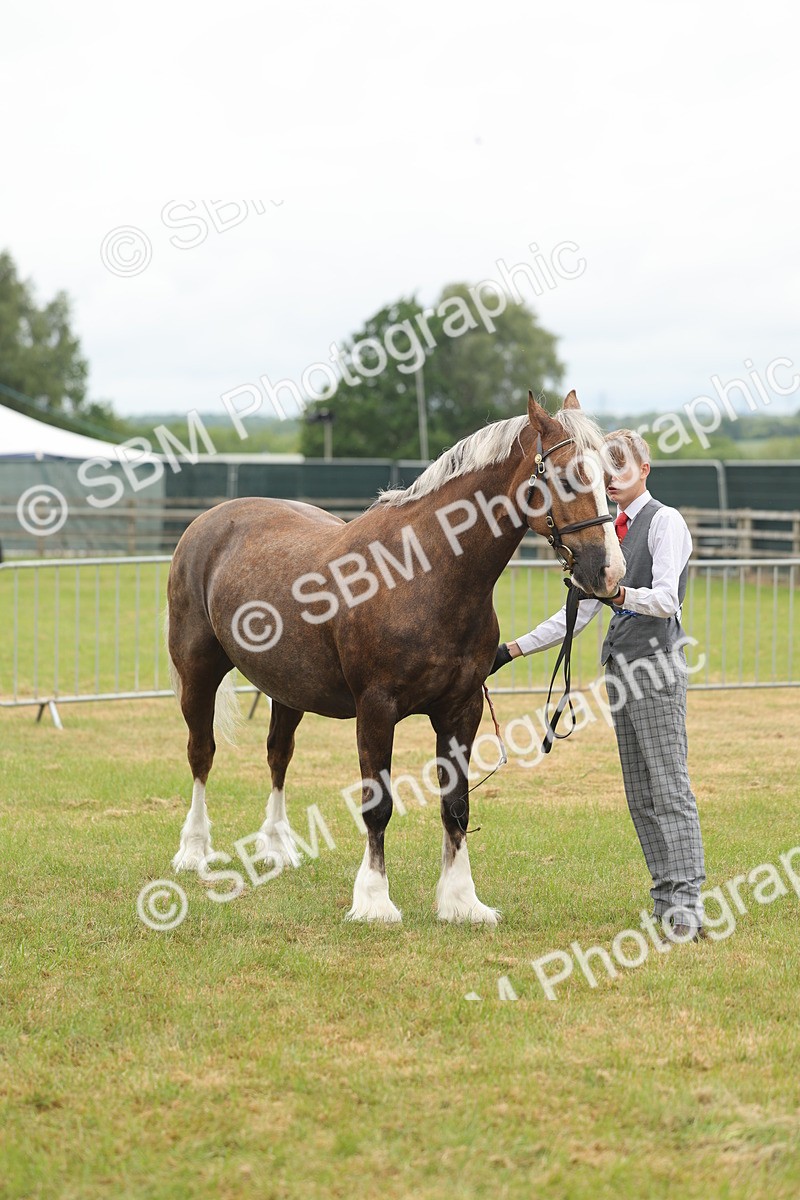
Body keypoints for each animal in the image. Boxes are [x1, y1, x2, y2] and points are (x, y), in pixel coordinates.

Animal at [166, 390, 625, 923]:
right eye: (568, 477)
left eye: (608, 478)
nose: (609, 572)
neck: (422, 574)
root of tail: (208, 521)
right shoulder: (376, 709)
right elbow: (378, 805)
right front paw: (374, 901)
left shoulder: (461, 709)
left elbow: (457, 806)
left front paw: (461, 901)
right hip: (198, 672)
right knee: (201, 753)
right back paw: (194, 851)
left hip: (287, 688)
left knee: (278, 754)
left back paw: (278, 847)